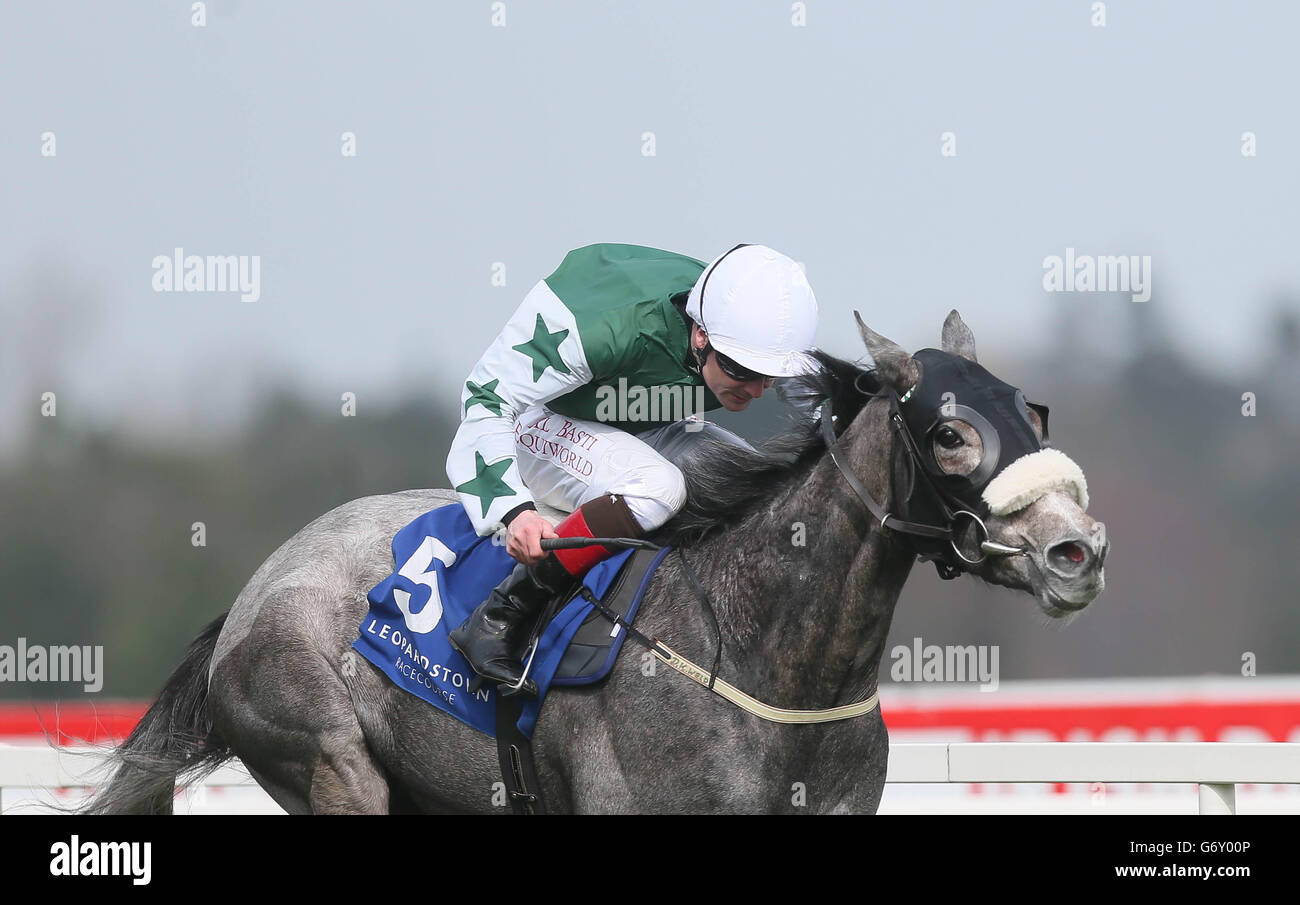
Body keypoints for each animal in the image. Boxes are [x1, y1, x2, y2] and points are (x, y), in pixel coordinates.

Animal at [83, 310, 1107, 811]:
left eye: (1033, 411)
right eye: (950, 434)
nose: (1078, 549)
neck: (768, 659)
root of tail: (248, 597)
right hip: (329, 759)